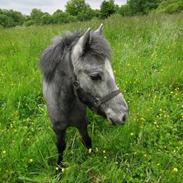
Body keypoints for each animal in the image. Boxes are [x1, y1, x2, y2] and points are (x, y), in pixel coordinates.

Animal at [39, 24, 129, 166]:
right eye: (95, 76)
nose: (124, 115)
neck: (65, 105)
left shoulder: (81, 124)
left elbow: (87, 141)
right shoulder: (58, 130)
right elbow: (60, 147)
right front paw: (59, 167)